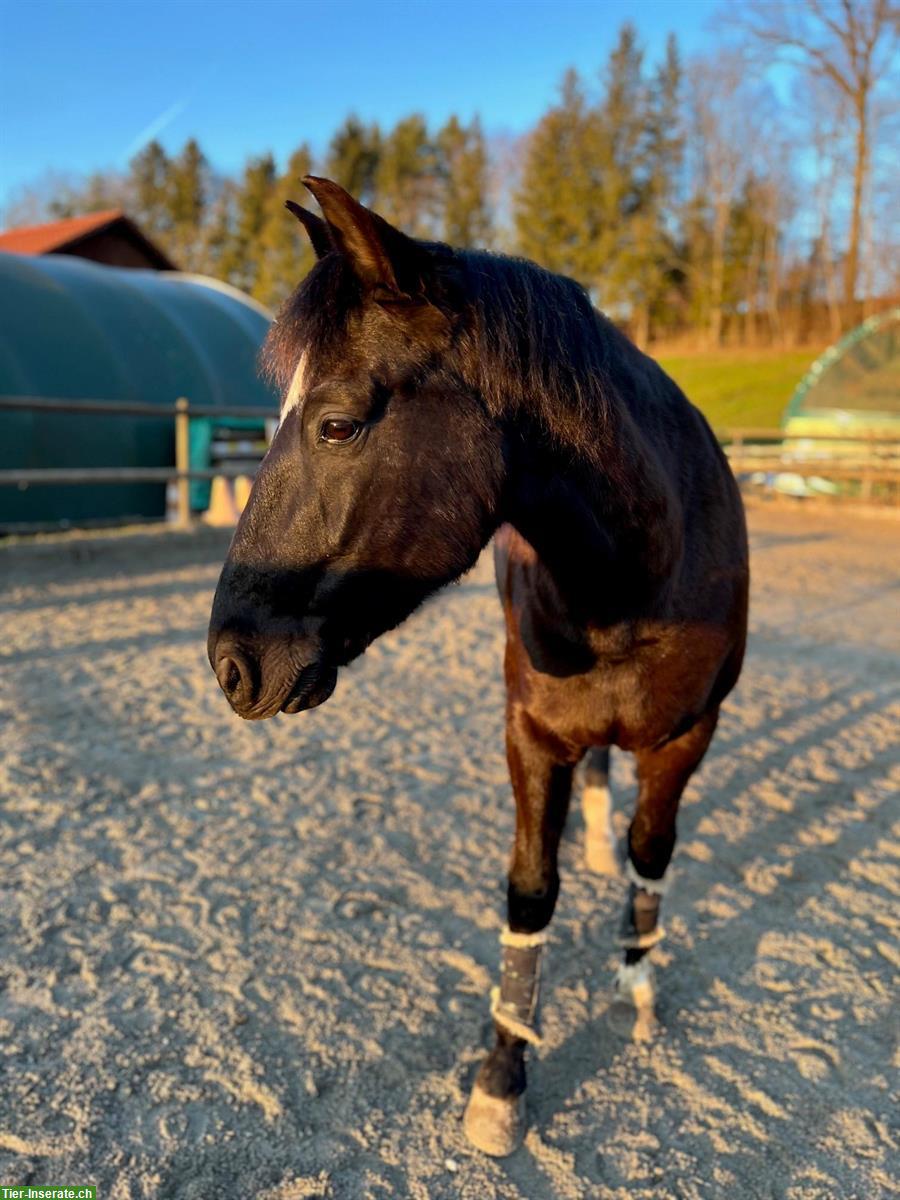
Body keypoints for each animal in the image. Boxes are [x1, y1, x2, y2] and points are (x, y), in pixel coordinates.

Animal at [207, 175, 748, 1152]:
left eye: (337, 425)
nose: (231, 660)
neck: (644, 570)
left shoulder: (690, 735)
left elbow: (654, 851)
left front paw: (638, 984)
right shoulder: (530, 734)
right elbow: (530, 891)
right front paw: (502, 1078)